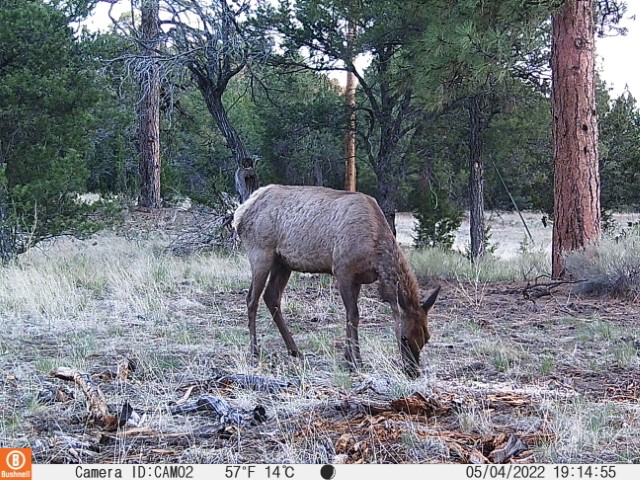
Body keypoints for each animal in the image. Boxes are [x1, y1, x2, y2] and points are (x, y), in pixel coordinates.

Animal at [232, 184, 440, 378]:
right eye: (404, 337)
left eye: (426, 337)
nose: (413, 371)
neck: (375, 250)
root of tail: (240, 213)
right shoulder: (342, 270)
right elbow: (353, 315)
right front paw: (357, 361)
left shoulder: (358, 278)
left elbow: (350, 315)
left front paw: (348, 358)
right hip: (260, 252)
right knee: (252, 299)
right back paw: (254, 351)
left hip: (282, 262)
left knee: (271, 296)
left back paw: (295, 350)